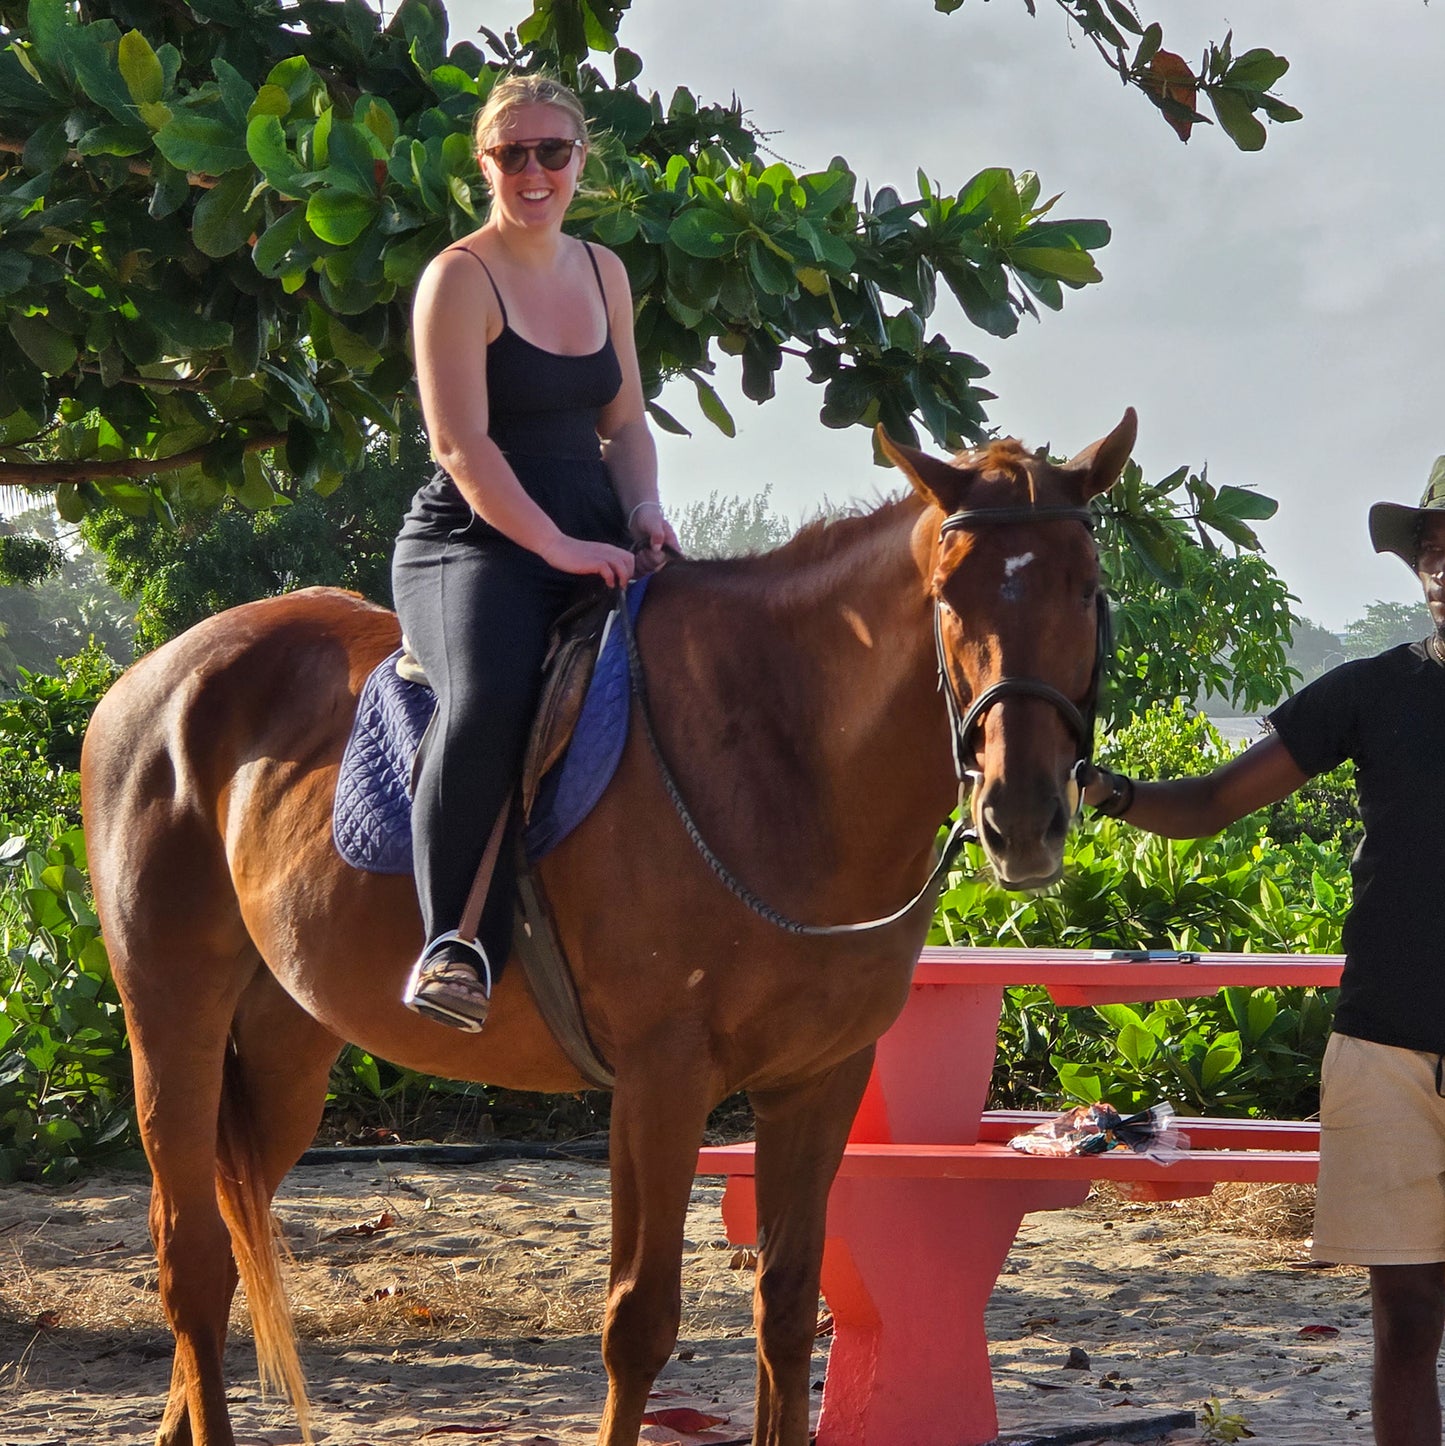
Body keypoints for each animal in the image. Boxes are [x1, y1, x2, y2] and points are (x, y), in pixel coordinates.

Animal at [79, 410, 1136, 1446]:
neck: (778, 753)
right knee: (191, 1260)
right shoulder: (659, 1083)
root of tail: (153, 680)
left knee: (226, 1236)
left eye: (1086, 590)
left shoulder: (818, 1082)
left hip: (286, 1050)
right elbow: (639, 1324)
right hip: (172, 1020)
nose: (1021, 816)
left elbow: (790, 1308)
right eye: (948, 597)